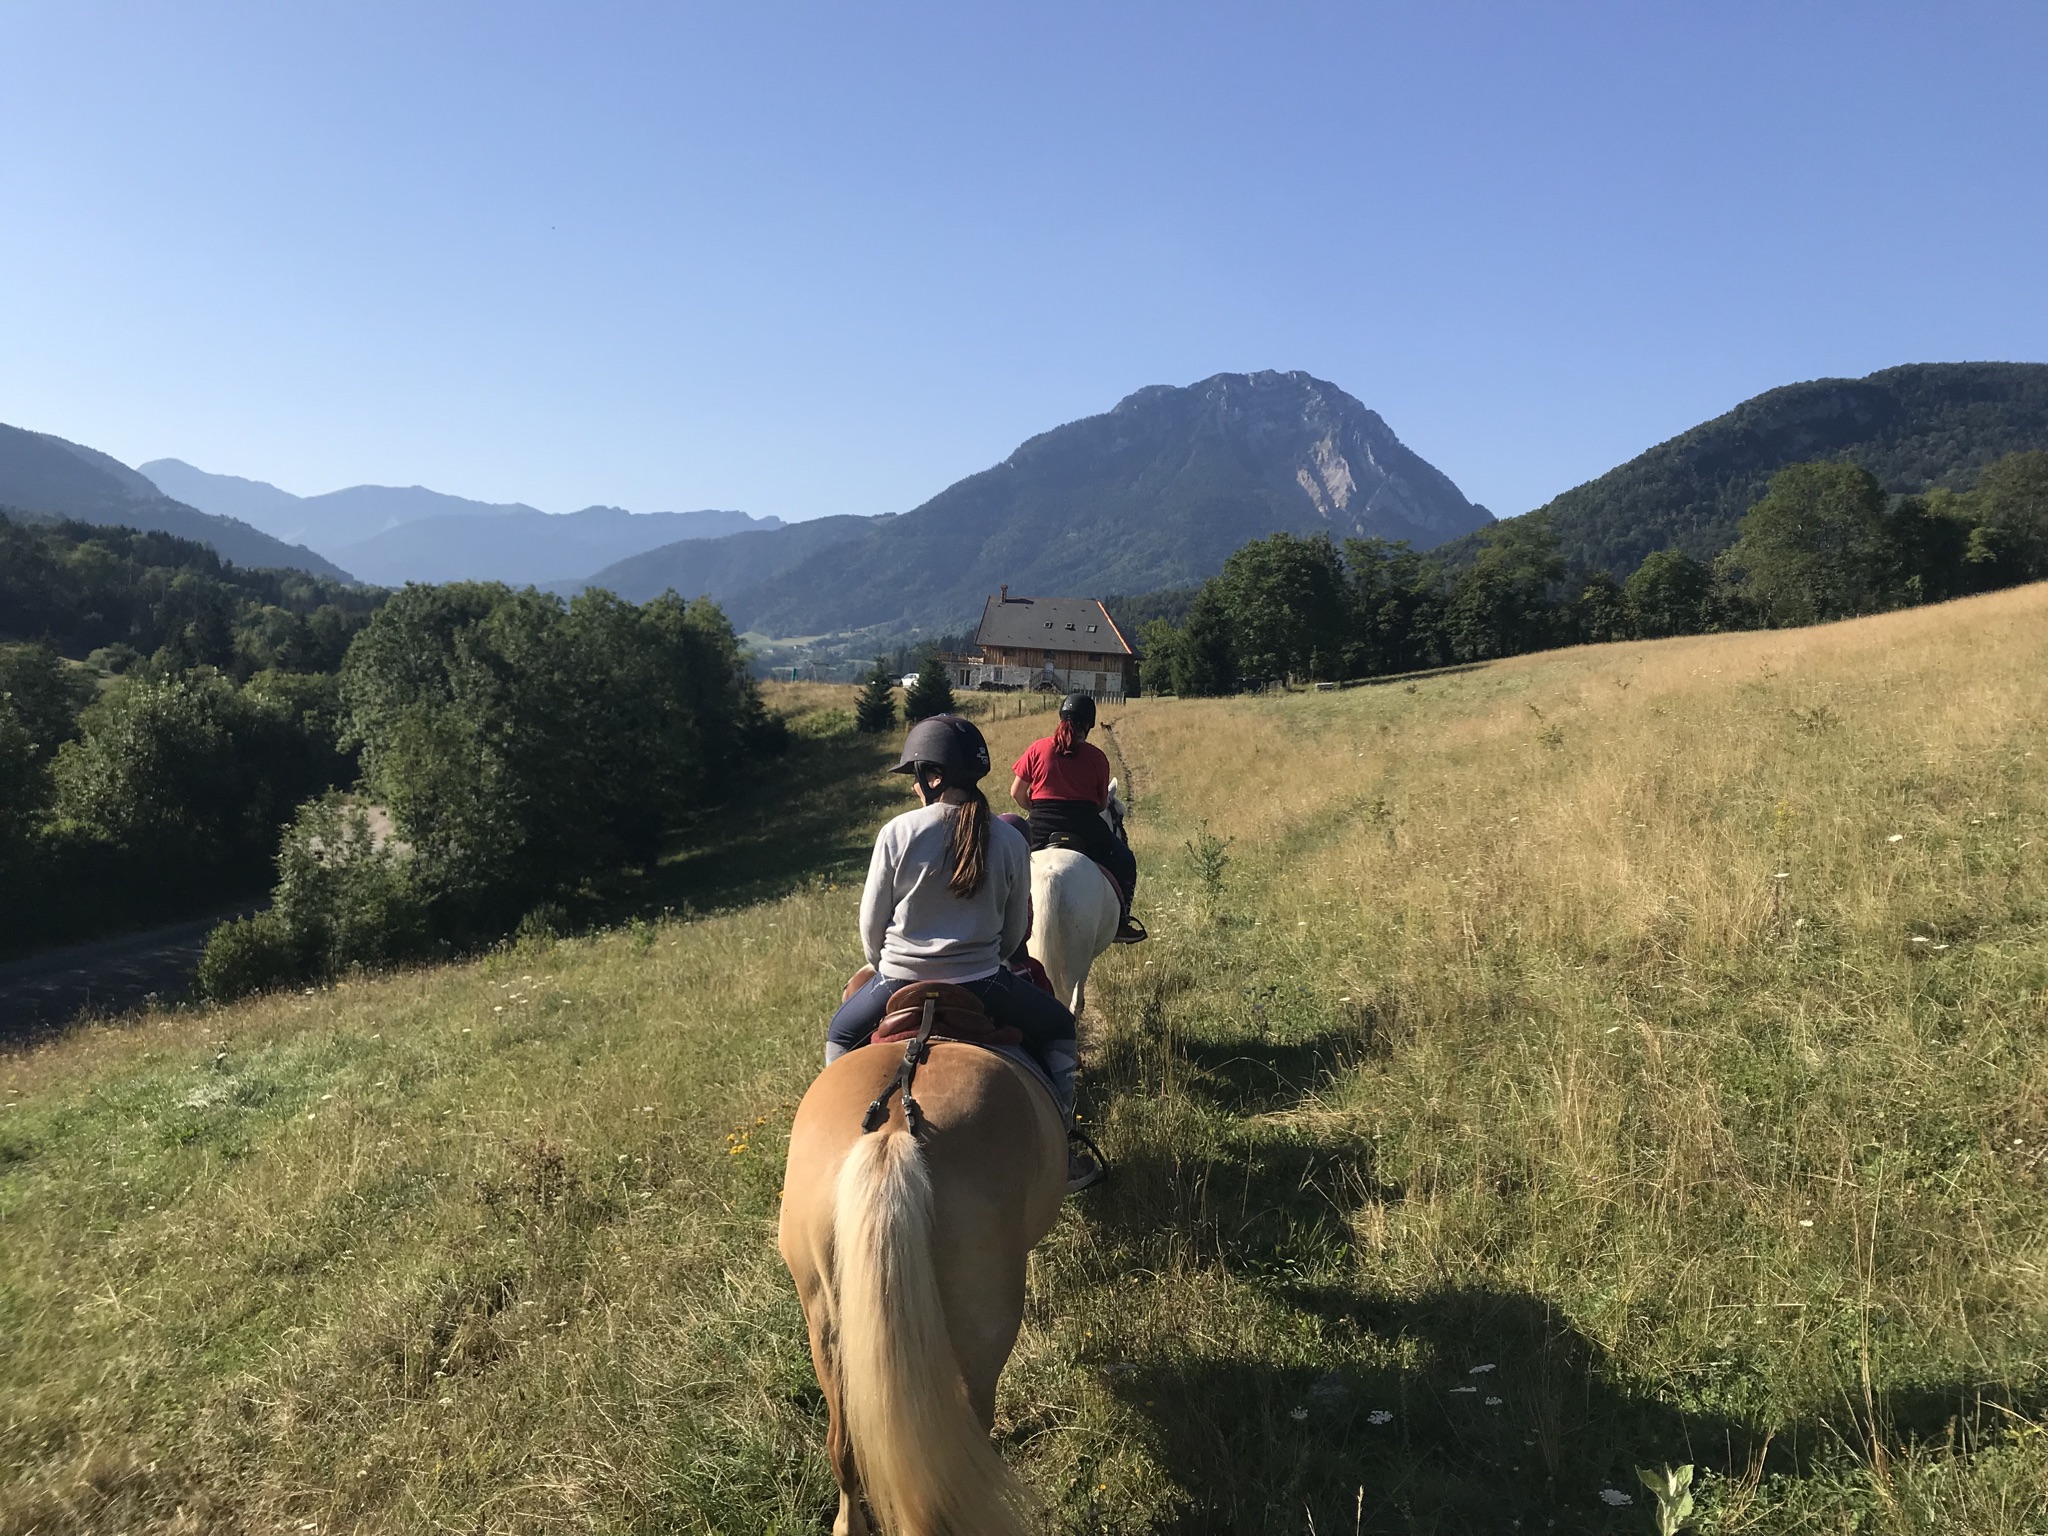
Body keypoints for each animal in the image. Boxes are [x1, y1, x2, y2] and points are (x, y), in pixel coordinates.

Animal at [1032, 782, 1130, 1024]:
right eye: (1120, 814)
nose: (1124, 838)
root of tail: (1050, 879)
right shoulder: (1087, 956)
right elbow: (1082, 983)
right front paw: (1080, 1006)